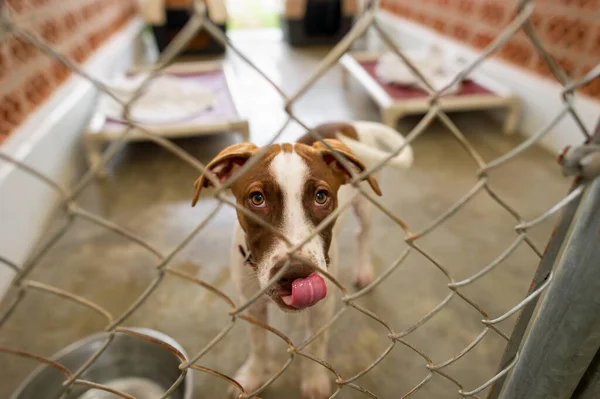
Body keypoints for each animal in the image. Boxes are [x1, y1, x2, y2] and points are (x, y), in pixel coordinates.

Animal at [192, 120, 412, 398]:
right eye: (257, 199)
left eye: (321, 197)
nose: (296, 273)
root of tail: (348, 123)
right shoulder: (251, 303)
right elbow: (258, 344)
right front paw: (253, 375)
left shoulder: (322, 306)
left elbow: (316, 343)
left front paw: (315, 380)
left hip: (366, 204)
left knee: (364, 233)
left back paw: (363, 270)